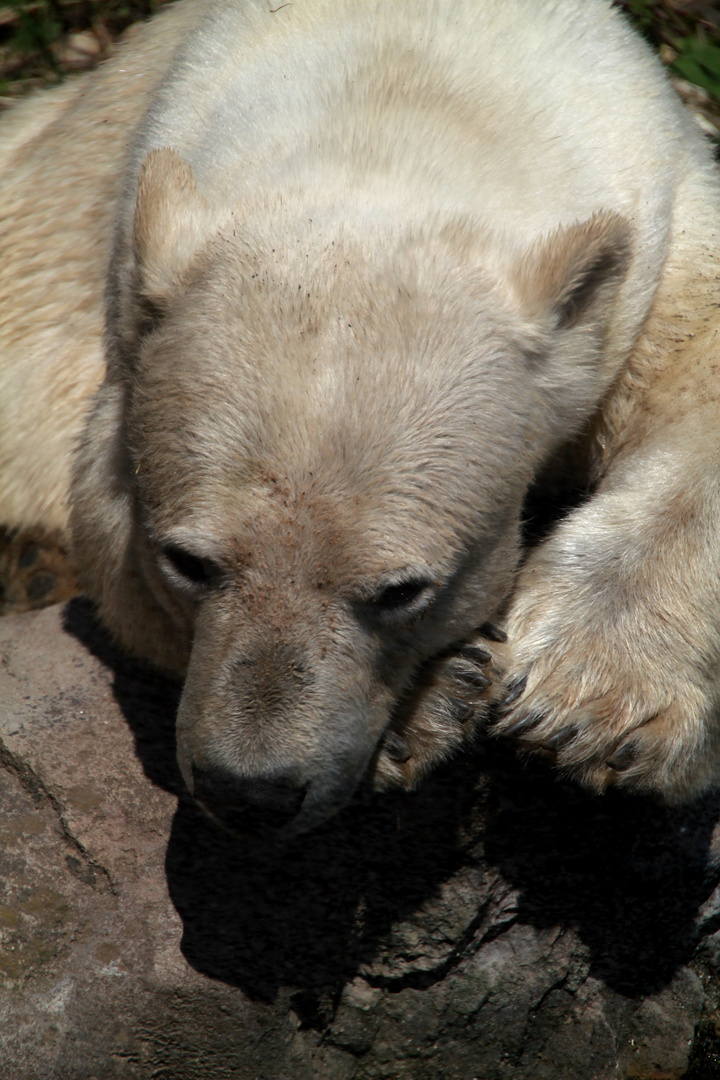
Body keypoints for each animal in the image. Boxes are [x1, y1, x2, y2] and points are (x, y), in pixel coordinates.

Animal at [1, 0, 720, 833]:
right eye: (187, 562)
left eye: (401, 590)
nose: (251, 792)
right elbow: (107, 540)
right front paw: (433, 702)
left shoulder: (662, 228)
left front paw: (587, 696)